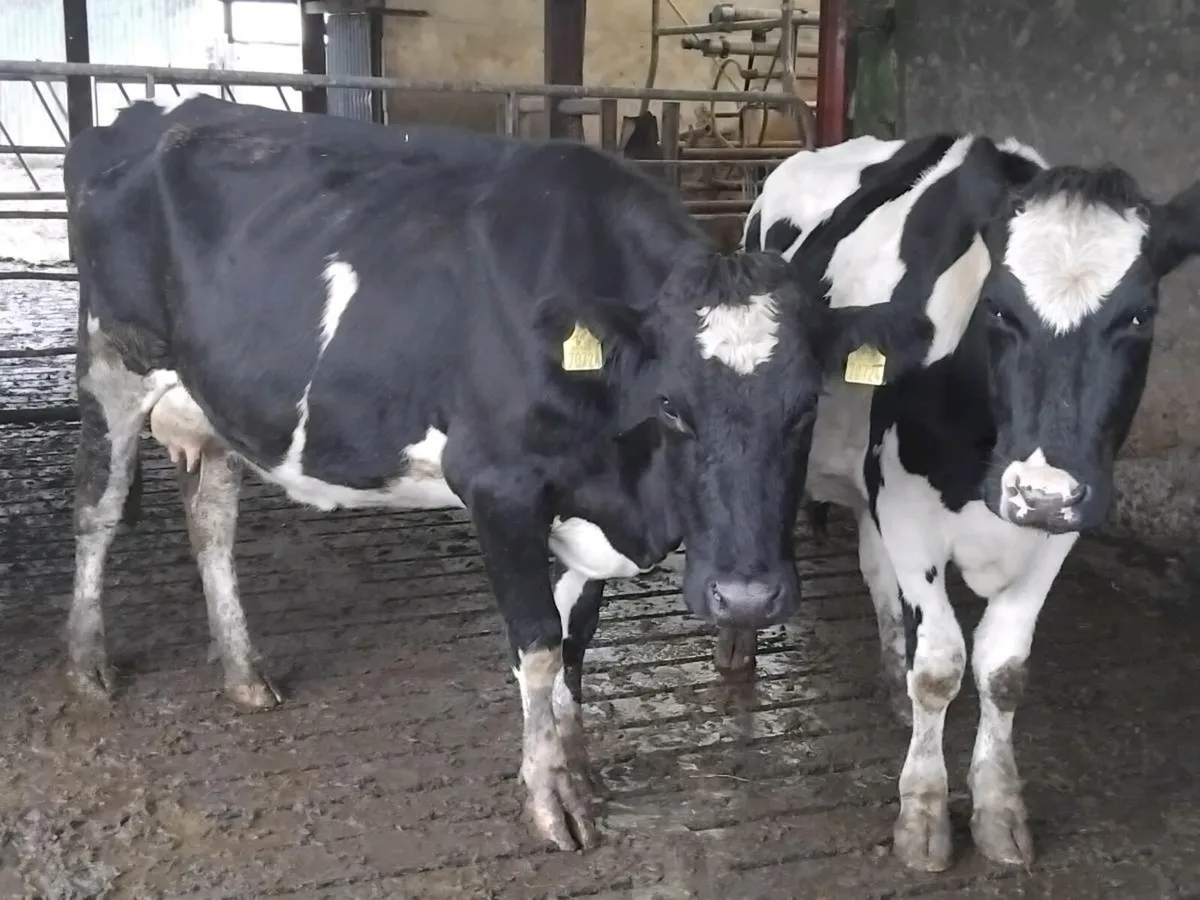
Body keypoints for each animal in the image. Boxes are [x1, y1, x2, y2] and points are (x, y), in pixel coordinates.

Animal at [61, 95, 933, 852]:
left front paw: (577, 768)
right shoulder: (499, 488)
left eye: (807, 403)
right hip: (113, 365)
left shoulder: (584, 509)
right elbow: (539, 644)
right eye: (672, 404)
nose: (747, 599)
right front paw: (551, 801)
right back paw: (87, 662)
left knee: (211, 526)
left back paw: (244, 673)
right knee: (97, 510)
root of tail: (158, 117)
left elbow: (576, 641)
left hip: (213, 406)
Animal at [738, 132, 1200, 871]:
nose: (1038, 491)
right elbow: (941, 666)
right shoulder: (907, 512)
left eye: (1139, 313)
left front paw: (999, 807)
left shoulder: (1061, 525)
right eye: (1001, 309)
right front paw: (924, 814)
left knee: (875, 575)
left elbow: (1003, 670)